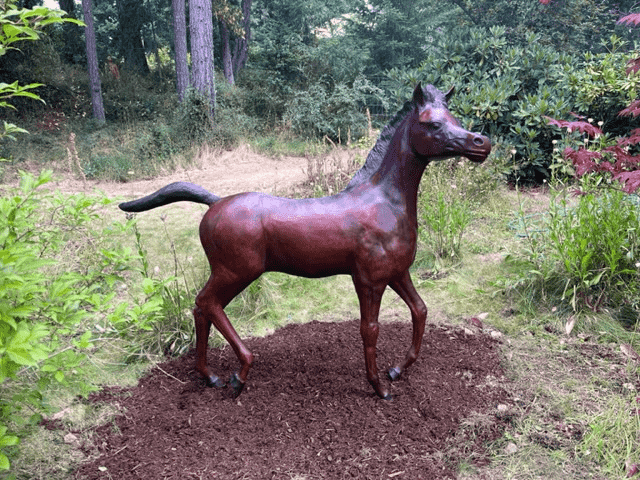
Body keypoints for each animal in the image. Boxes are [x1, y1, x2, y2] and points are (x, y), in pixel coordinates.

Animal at [119, 83, 491, 400]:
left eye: (455, 119)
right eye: (433, 124)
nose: (481, 143)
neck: (384, 203)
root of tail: (216, 202)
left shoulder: (398, 272)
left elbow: (420, 311)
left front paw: (397, 370)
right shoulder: (369, 280)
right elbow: (369, 329)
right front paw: (379, 387)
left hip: (230, 273)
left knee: (201, 308)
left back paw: (210, 376)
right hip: (236, 272)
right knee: (207, 303)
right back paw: (239, 374)